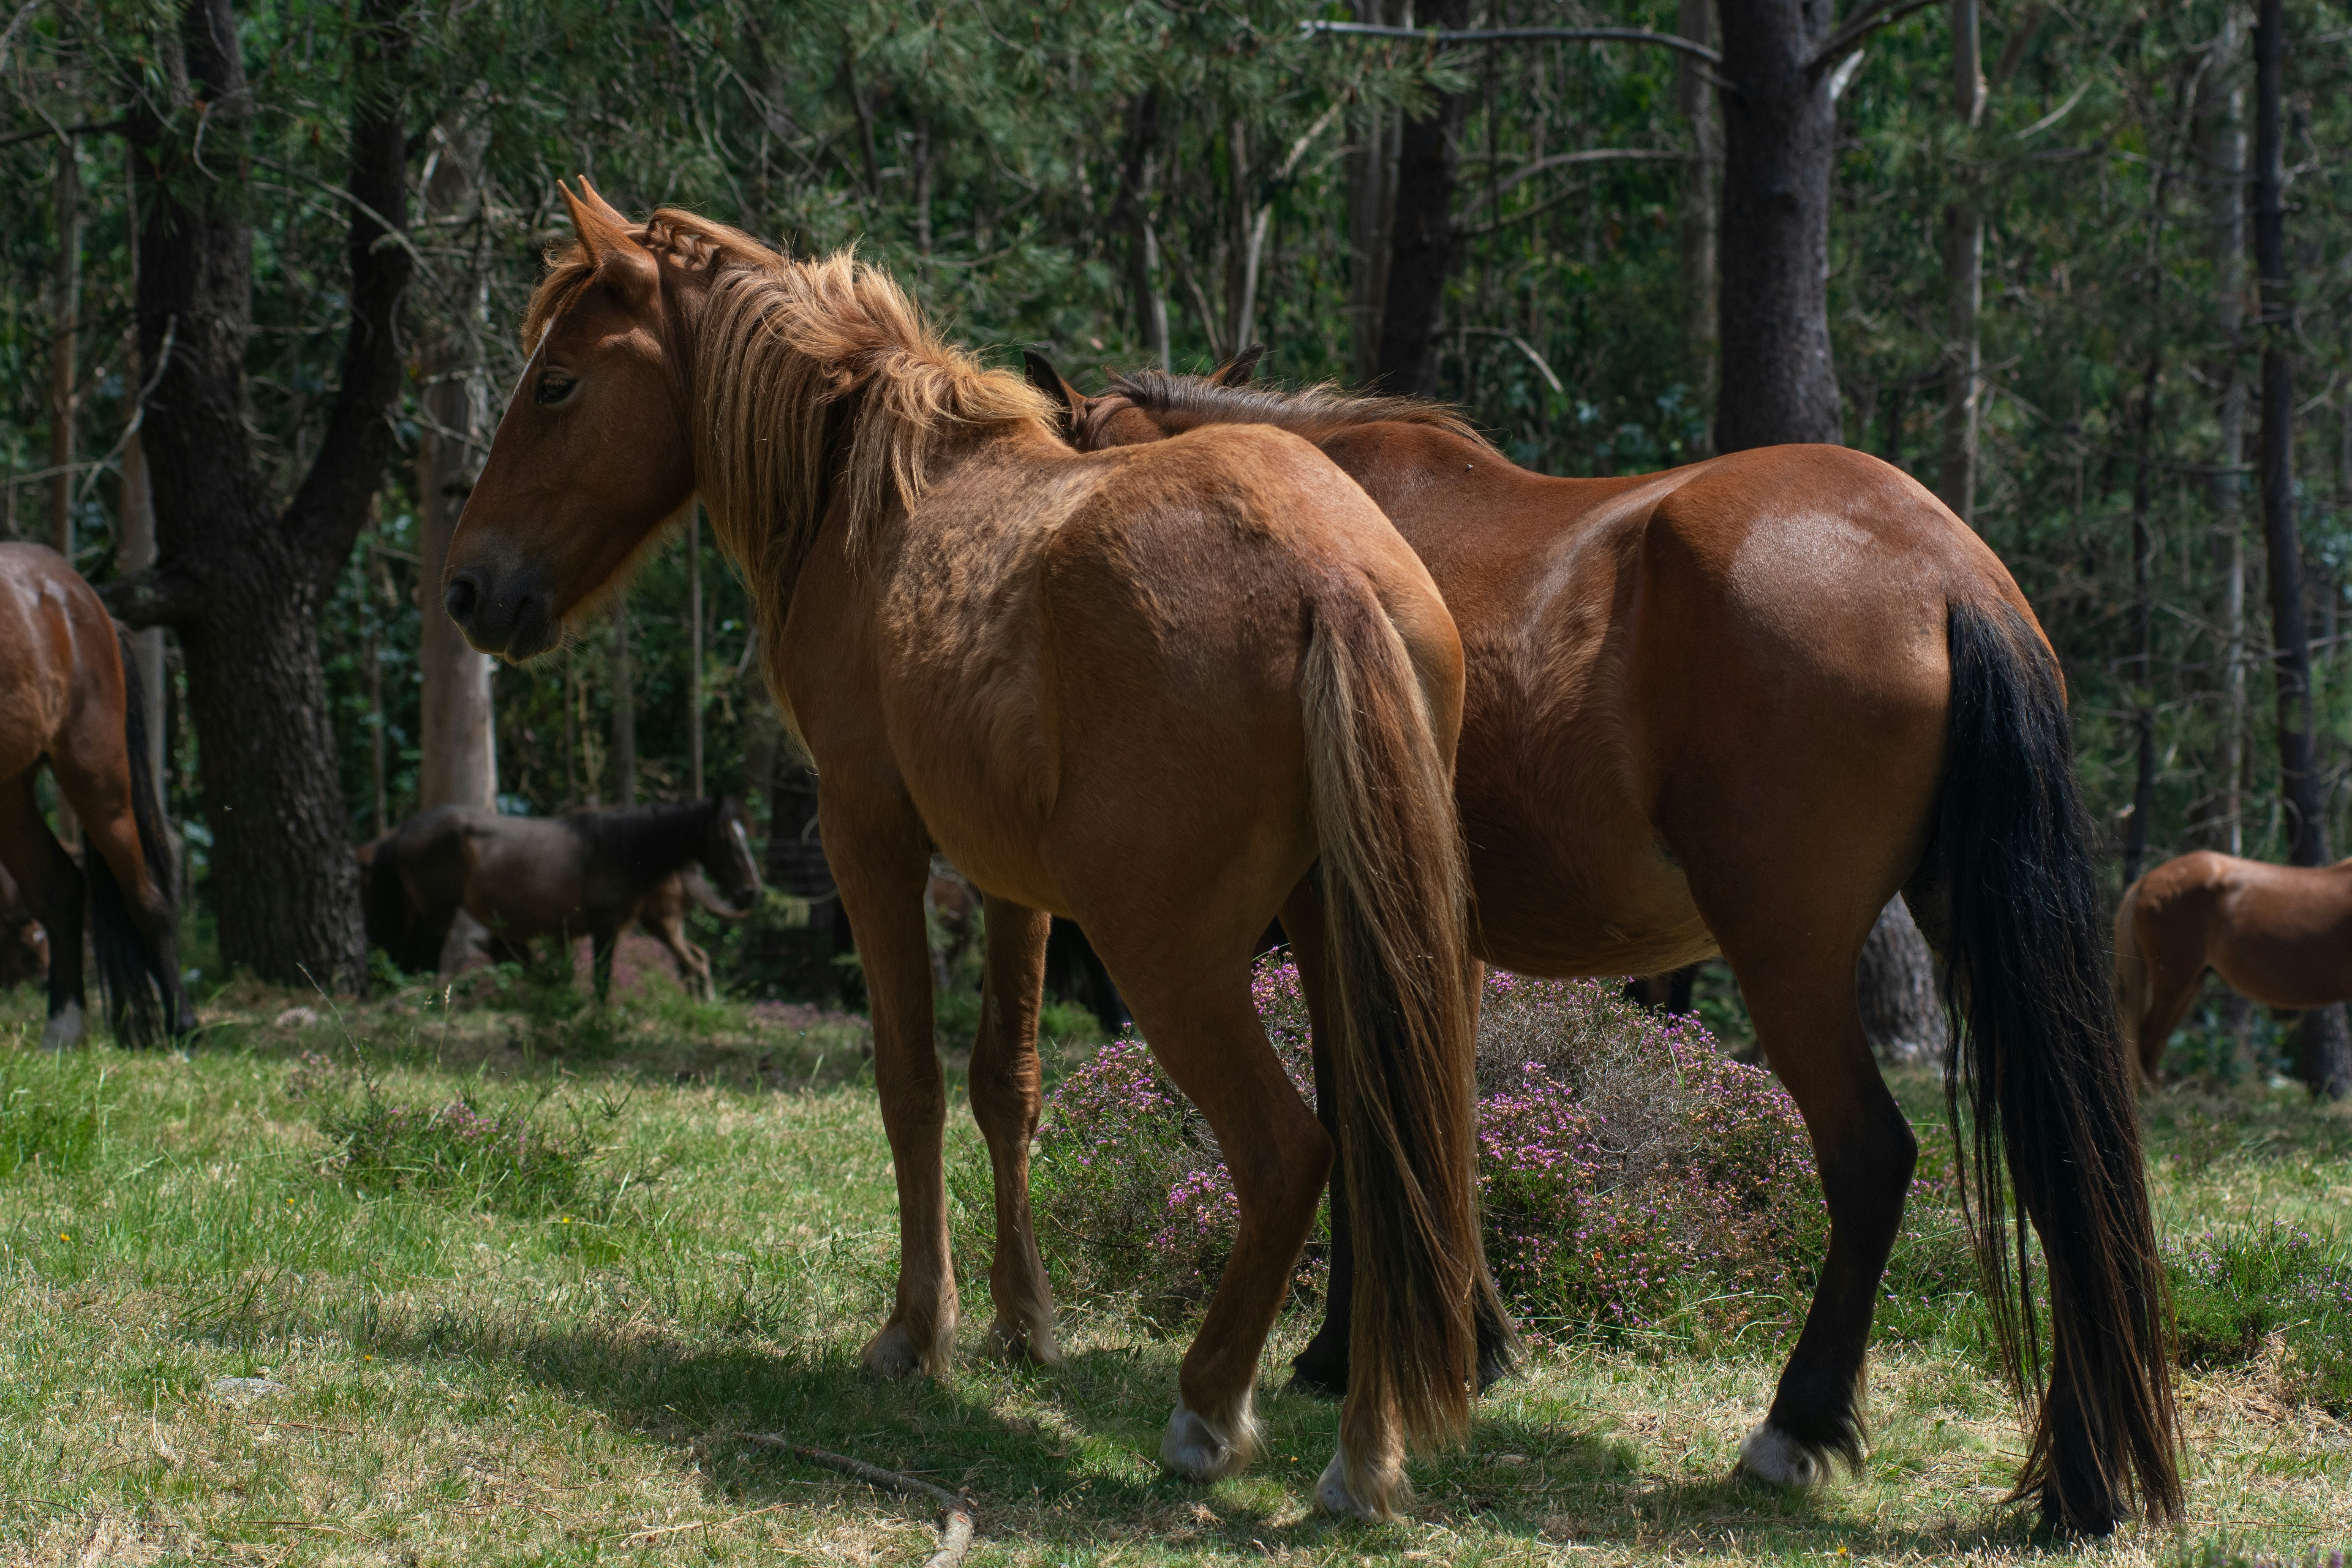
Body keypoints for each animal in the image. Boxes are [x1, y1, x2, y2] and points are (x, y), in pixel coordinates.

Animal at [0, 543, 192, 1048]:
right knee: (59, 888)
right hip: (11, 792)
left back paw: (184, 1029)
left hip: (98, 778)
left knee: (146, 895)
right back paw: (63, 1032)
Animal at [362, 798, 762, 1001]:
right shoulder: (604, 928)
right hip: (436, 914)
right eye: (727, 840)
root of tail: (402, 831)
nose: (751, 892)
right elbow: (600, 980)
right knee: (422, 961)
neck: (619, 849)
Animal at [440, 182, 1484, 1522]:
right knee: (1389, 1155)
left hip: (1172, 961)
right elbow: (1005, 1085)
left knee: (1287, 1151)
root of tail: (1330, 575)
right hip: (1344, 936)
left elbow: (911, 1085)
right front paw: (1022, 1324)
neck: (874, 498)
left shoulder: (868, 842)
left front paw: (914, 1333)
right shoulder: (1008, 887)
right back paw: (1365, 1455)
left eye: (558, 384)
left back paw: (1208, 1412)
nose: (470, 591)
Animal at [1018, 352, 2181, 1535]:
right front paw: (1473, 1340)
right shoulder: (1440, 937)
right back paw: (2084, 1479)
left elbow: (1363, 1110)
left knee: (1871, 1159)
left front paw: (1345, 1351)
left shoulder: (1329, 915)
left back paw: (1796, 1427)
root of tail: (1950, 575)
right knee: (2065, 1165)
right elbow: (1442, 1112)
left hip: (1790, 963)